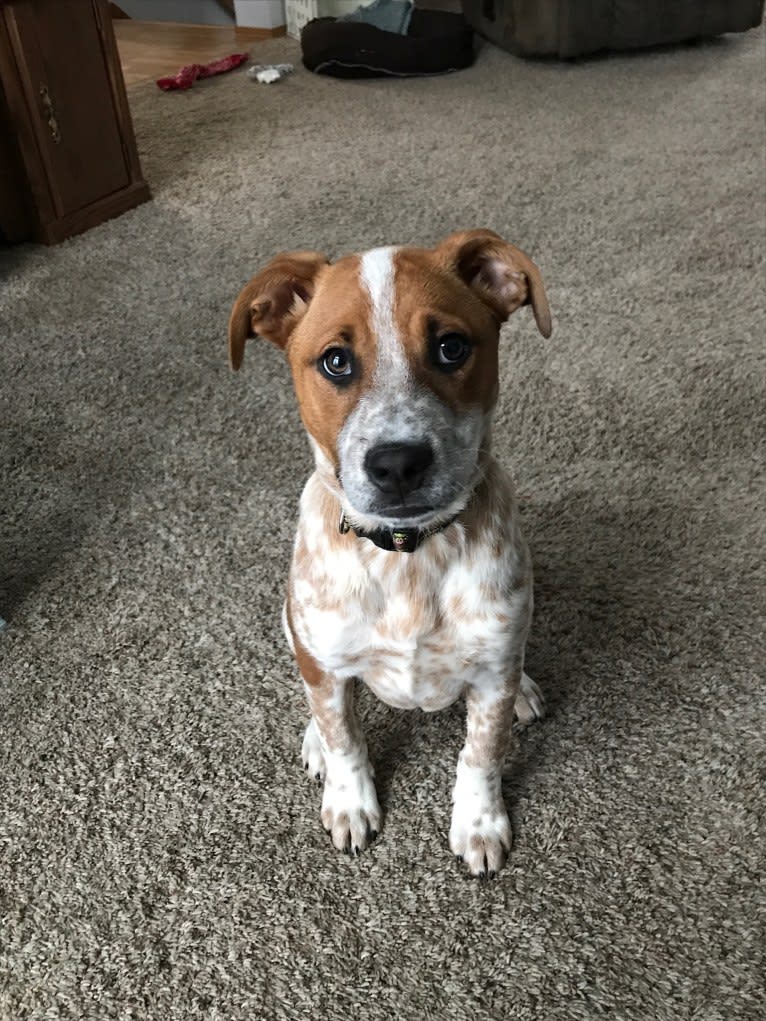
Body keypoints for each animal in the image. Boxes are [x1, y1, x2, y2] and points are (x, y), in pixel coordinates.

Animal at [227, 229, 551, 878]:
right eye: (335, 360)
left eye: (451, 347)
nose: (398, 464)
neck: (408, 557)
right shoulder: (324, 658)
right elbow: (344, 736)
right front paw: (350, 802)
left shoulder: (492, 673)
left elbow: (482, 752)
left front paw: (479, 823)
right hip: (293, 625)